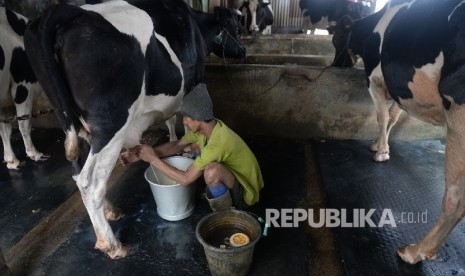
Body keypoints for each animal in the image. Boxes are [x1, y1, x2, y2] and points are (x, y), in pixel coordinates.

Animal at [23, 0, 245, 258]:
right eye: (236, 29)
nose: (243, 51)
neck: (196, 27)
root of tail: (64, 11)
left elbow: (170, 120)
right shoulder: (193, 81)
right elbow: (180, 117)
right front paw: (188, 149)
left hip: (72, 122)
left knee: (79, 173)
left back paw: (111, 211)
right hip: (111, 124)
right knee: (91, 182)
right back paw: (112, 245)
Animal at [332, 0, 464, 264]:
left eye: (336, 38)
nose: (333, 65)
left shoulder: (374, 78)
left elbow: (382, 116)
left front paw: (381, 152)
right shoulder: (400, 88)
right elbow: (393, 116)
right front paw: (378, 144)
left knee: (456, 197)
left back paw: (416, 251)